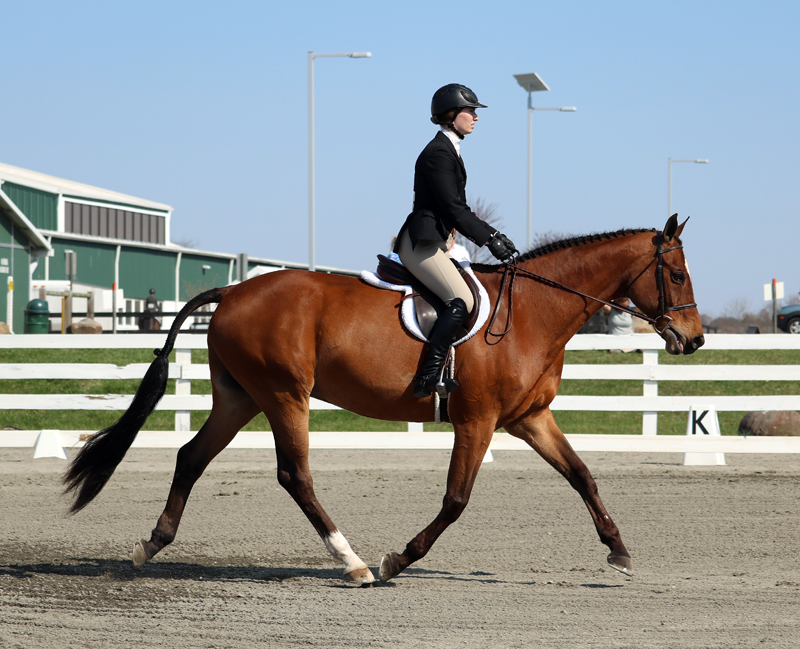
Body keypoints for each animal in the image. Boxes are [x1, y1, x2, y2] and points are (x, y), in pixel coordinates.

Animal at [64, 215, 700, 584]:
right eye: (675, 273)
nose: (693, 340)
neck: (532, 313)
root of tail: (234, 289)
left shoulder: (529, 418)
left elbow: (582, 475)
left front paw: (618, 551)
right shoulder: (478, 419)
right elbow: (456, 499)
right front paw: (399, 559)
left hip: (239, 397)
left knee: (191, 457)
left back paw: (150, 547)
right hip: (283, 394)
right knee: (294, 474)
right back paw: (354, 563)